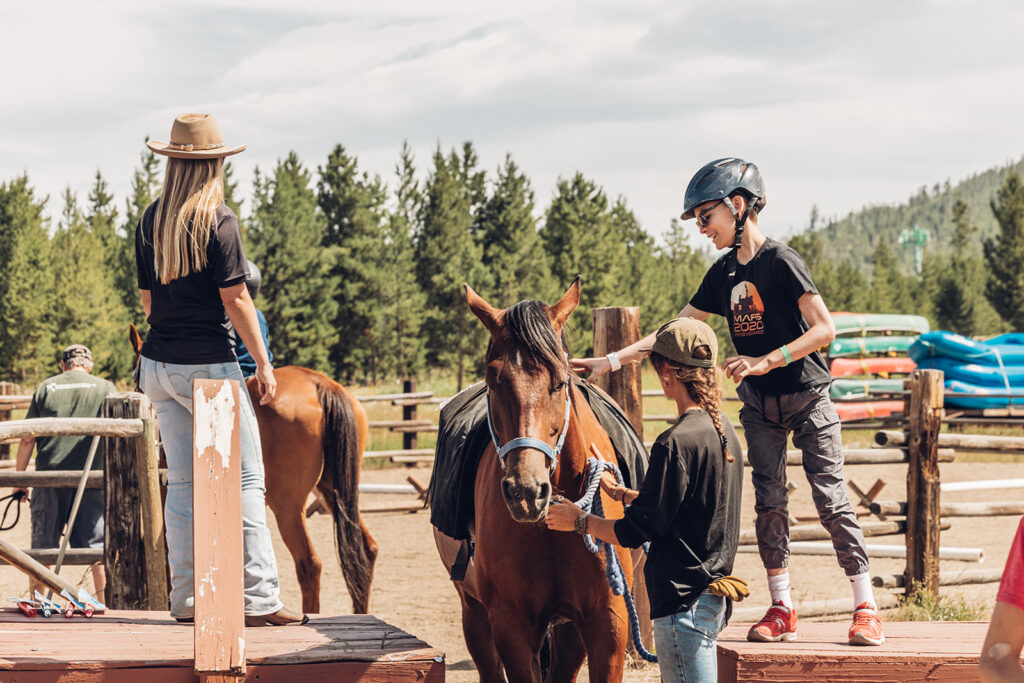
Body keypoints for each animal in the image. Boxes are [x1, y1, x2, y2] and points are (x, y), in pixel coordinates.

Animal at [436, 280, 634, 679]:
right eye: (493, 382)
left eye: (560, 382)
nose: (526, 492)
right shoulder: (510, 625)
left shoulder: (608, 624)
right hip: (473, 612)